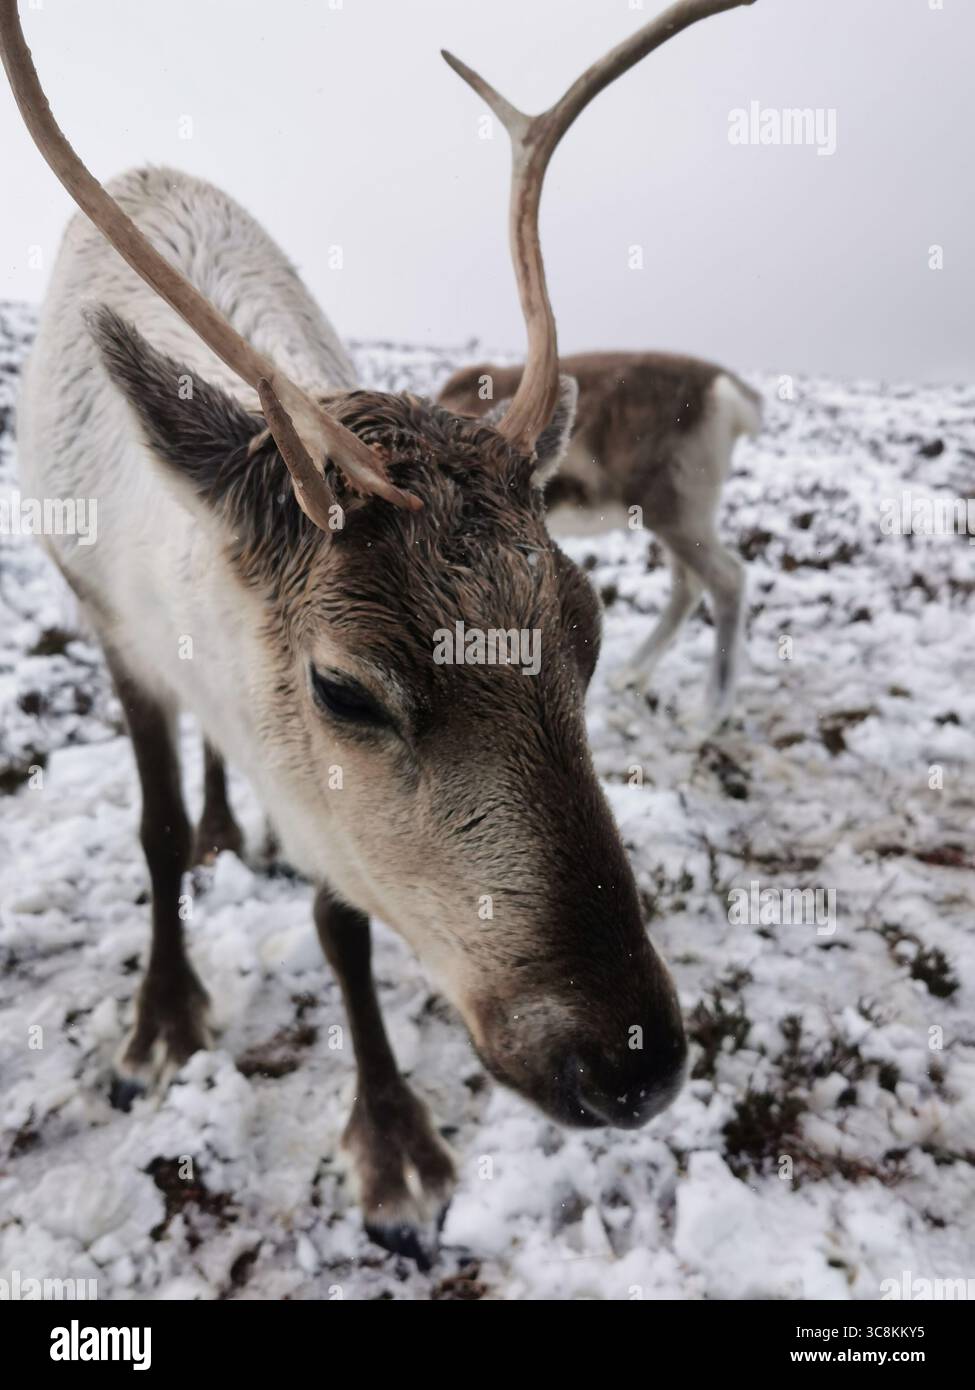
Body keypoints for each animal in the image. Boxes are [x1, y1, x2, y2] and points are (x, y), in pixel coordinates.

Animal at [439, 352, 762, 728]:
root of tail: (728, 394)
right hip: (680, 518)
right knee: (689, 585)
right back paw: (631, 675)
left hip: (678, 513)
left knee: (727, 579)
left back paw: (709, 714)